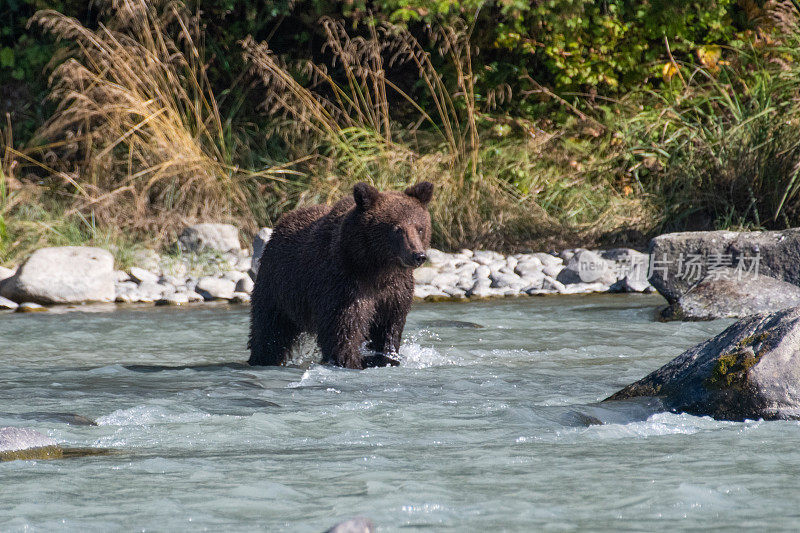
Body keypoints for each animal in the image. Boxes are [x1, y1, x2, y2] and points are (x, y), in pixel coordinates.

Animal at [250, 181, 434, 368]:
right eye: (397, 229)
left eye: (419, 228)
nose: (418, 255)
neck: (377, 268)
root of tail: (284, 219)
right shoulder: (343, 285)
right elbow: (344, 328)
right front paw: (348, 360)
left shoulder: (395, 291)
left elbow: (389, 327)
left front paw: (387, 357)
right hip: (278, 286)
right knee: (269, 329)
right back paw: (261, 358)